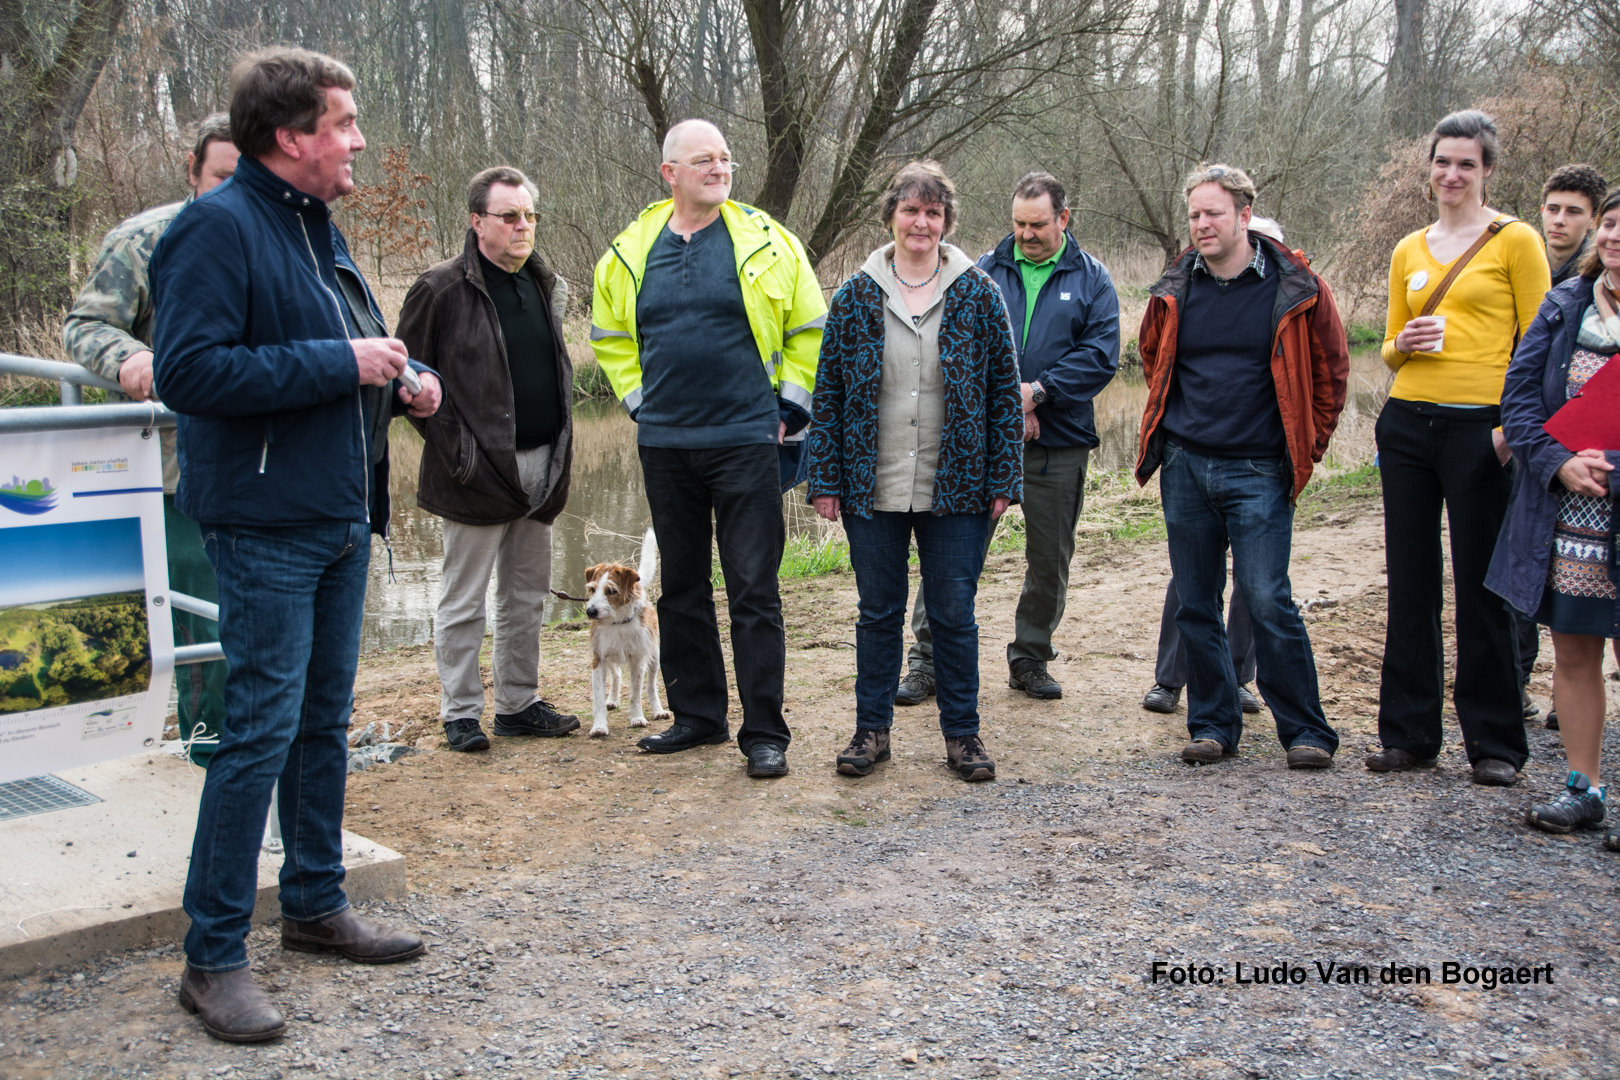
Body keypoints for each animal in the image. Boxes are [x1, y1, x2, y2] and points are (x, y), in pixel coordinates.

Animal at [583, 527, 670, 738]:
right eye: (592, 589)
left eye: (611, 590)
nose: (591, 611)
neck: (617, 623)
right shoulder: (599, 659)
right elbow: (598, 697)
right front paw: (599, 726)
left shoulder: (638, 660)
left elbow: (636, 694)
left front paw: (637, 718)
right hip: (611, 659)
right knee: (616, 676)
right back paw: (612, 699)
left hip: (654, 658)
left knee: (651, 687)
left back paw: (658, 710)